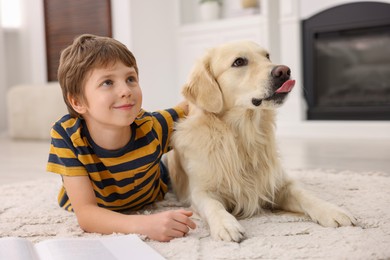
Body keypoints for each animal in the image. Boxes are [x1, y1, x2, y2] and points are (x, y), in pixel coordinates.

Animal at [166, 40, 354, 242]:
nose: (284, 71)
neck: (243, 135)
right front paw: (226, 225)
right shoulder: (200, 191)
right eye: (239, 62)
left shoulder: (278, 183)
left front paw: (332, 210)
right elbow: (213, 205)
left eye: (267, 56)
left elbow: (305, 194)